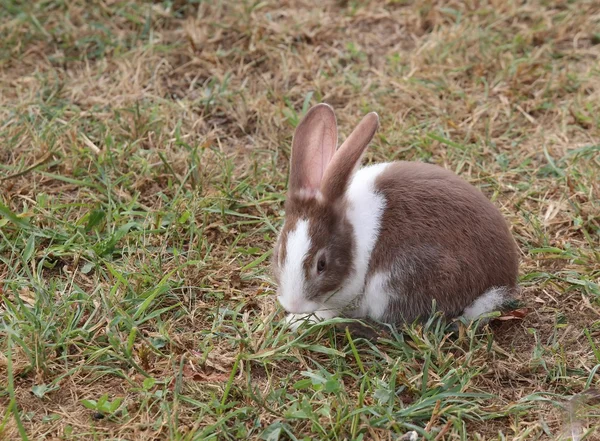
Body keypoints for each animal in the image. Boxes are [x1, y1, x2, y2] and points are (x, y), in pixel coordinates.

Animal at [272, 103, 520, 330]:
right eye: (280, 253)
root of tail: (500, 286)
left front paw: (295, 321)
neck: (352, 234)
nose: (293, 305)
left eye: (321, 264)